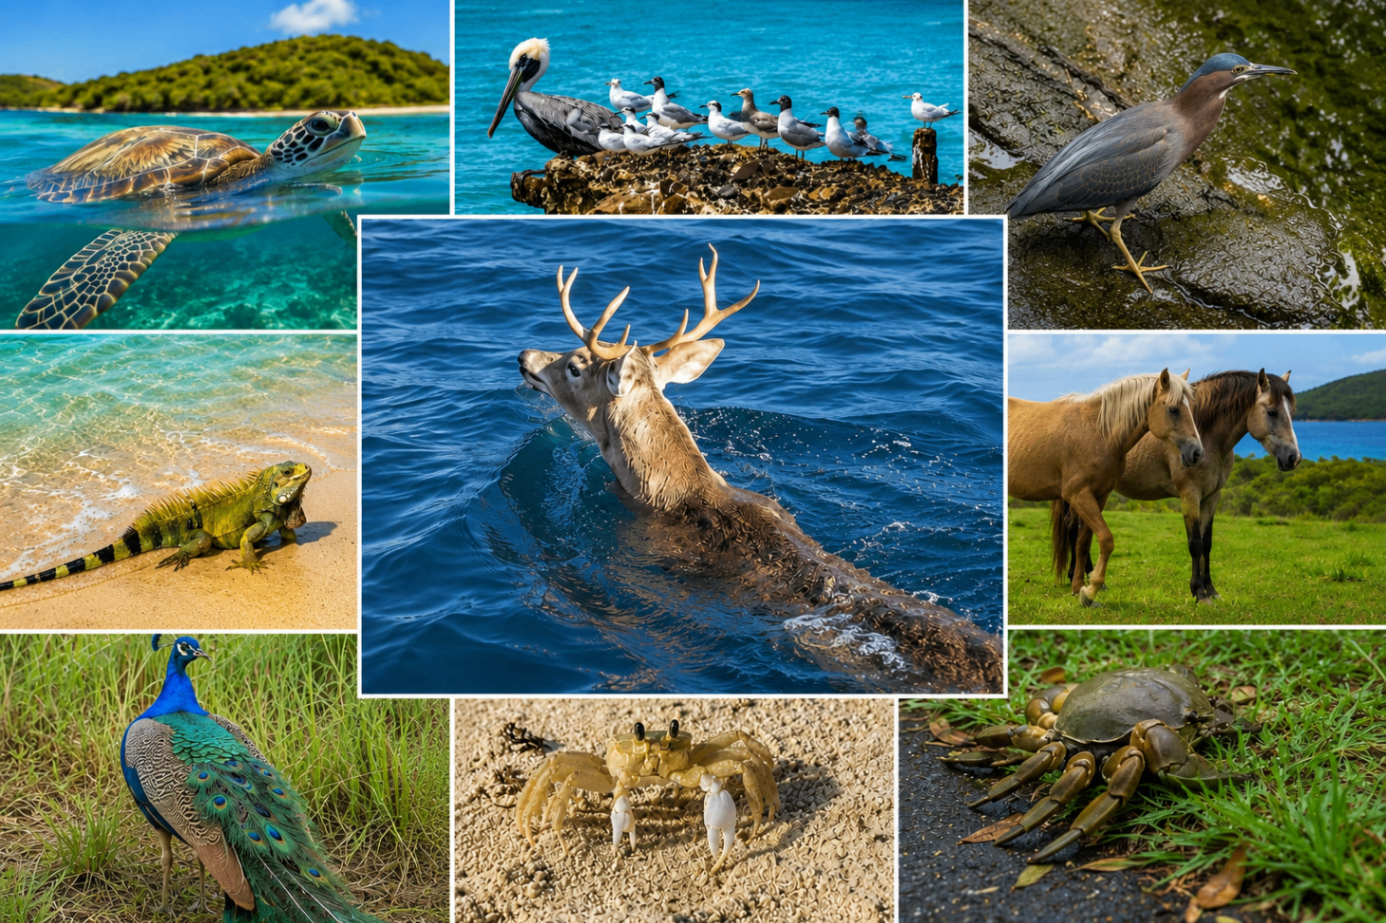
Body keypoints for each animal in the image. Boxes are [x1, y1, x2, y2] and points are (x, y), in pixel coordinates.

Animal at [1008, 369, 1203, 606]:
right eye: (1173, 409)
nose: (1196, 453)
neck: (1098, 433)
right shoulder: (1078, 495)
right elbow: (1106, 539)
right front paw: (1091, 589)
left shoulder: (1099, 495)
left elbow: (1084, 542)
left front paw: (1079, 589)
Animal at [1061, 369, 1300, 603]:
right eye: (1272, 412)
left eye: (1291, 412)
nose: (1294, 458)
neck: (1207, 435)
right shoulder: (1190, 495)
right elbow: (1195, 544)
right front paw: (1199, 593)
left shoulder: (1212, 497)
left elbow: (1207, 543)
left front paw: (1211, 590)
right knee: (1073, 528)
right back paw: (1077, 579)